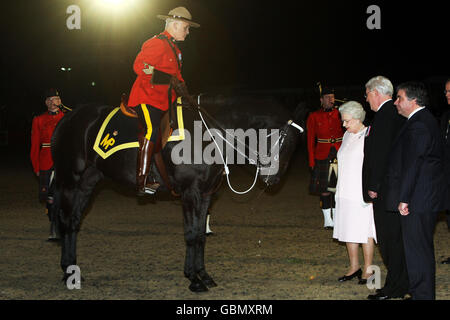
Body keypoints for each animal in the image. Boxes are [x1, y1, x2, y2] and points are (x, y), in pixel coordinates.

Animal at [50, 93, 302, 292]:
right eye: (285, 142)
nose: (273, 179)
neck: (207, 134)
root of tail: (67, 118)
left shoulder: (206, 194)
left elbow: (200, 235)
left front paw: (204, 275)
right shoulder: (190, 193)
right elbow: (190, 234)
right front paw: (193, 280)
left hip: (88, 182)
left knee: (73, 222)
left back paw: (72, 270)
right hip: (70, 181)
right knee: (66, 220)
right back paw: (67, 271)